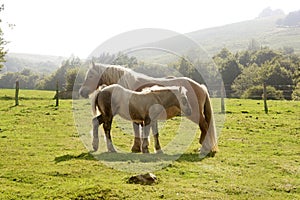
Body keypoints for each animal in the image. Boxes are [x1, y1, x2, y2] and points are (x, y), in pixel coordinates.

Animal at [79, 62, 218, 155]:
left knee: (205, 126)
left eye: (90, 76)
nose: (82, 92)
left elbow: (139, 130)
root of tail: (201, 87)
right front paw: (141, 148)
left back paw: (205, 147)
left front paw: (138, 148)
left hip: (195, 114)